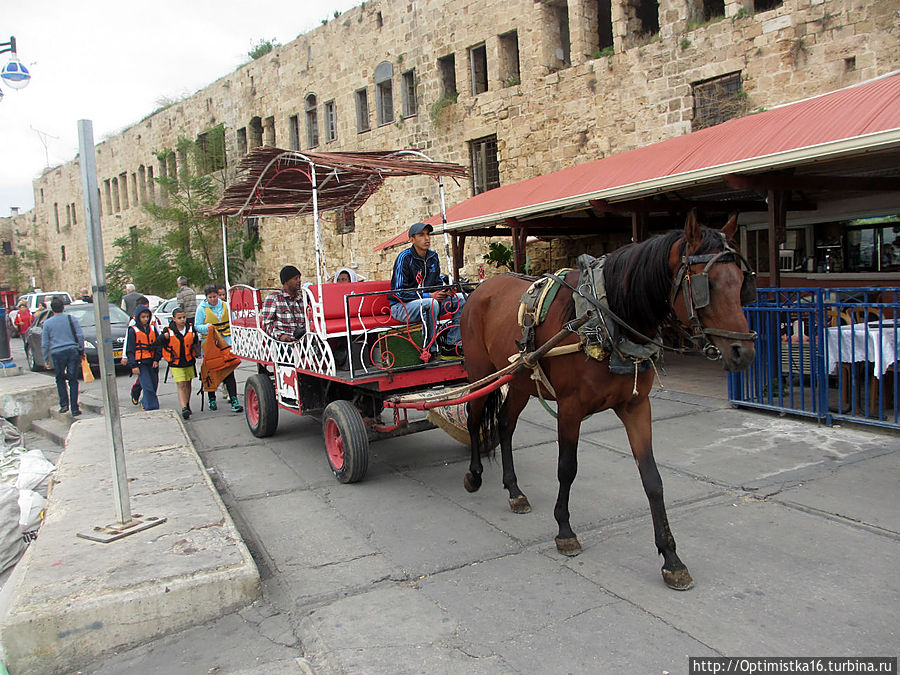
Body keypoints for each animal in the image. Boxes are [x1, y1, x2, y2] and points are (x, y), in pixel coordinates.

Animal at [460, 213, 756, 592]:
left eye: (742, 282)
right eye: (709, 285)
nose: (743, 353)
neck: (606, 320)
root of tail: (480, 289)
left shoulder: (636, 406)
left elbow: (652, 479)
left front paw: (671, 558)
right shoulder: (570, 409)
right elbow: (567, 468)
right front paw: (565, 530)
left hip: (522, 379)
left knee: (505, 425)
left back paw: (514, 490)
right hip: (480, 372)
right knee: (474, 418)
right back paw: (474, 475)